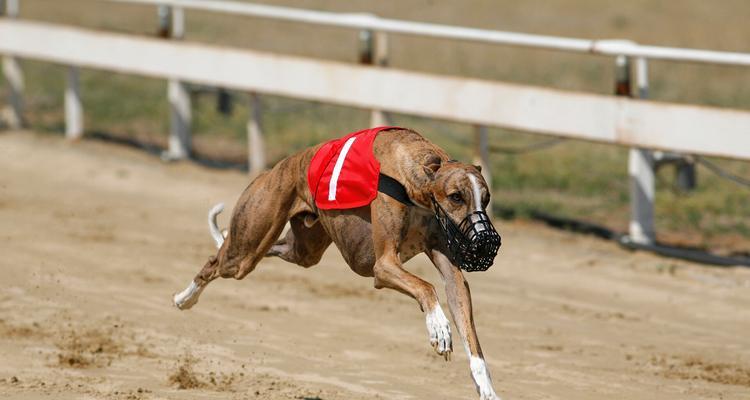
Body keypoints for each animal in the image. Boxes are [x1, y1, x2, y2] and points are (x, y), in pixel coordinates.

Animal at [172, 128, 506, 400]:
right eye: (456, 196)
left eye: (486, 199)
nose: (485, 242)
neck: (416, 175)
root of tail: (277, 167)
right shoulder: (383, 265)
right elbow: (425, 286)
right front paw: (438, 327)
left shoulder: (450, 269)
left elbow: (466, 324)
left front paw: (486, 387)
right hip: (247, 248)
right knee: (216, 261)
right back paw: (184, 298)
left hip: (303, 248)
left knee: (258, 246)